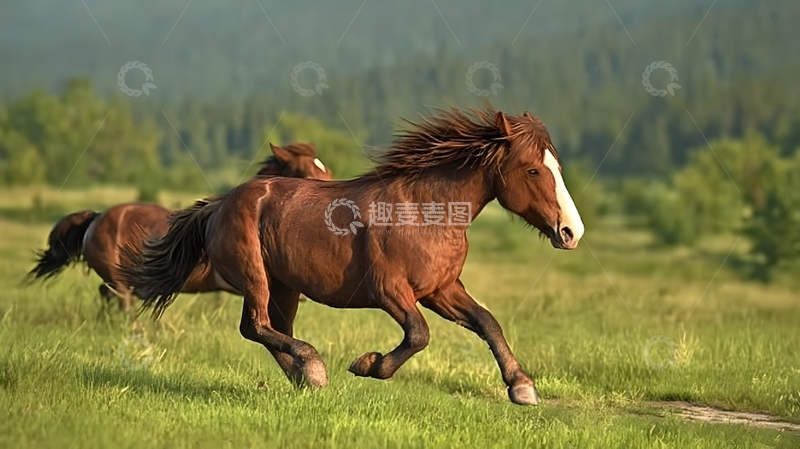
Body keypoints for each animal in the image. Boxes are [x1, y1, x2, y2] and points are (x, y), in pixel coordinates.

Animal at [26, 142, 333, 310]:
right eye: (307, 172)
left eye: (325, 169)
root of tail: (96, 218)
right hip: (119, 280)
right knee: (120, 301)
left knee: (108, 297)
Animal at [119, 107, 584, 406]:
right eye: (533, 169)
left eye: (557, 166)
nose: (571, 232)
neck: (424, 211)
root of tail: (219, 205)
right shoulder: (390, 290)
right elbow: (419, 334)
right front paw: (368, 364)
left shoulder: (442, 289)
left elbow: (487, 322)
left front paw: (522, 388)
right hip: (255, 278)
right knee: (255, 326)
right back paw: (314, 367)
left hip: (284, 287)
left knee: (272, 328)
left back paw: (305, 378)